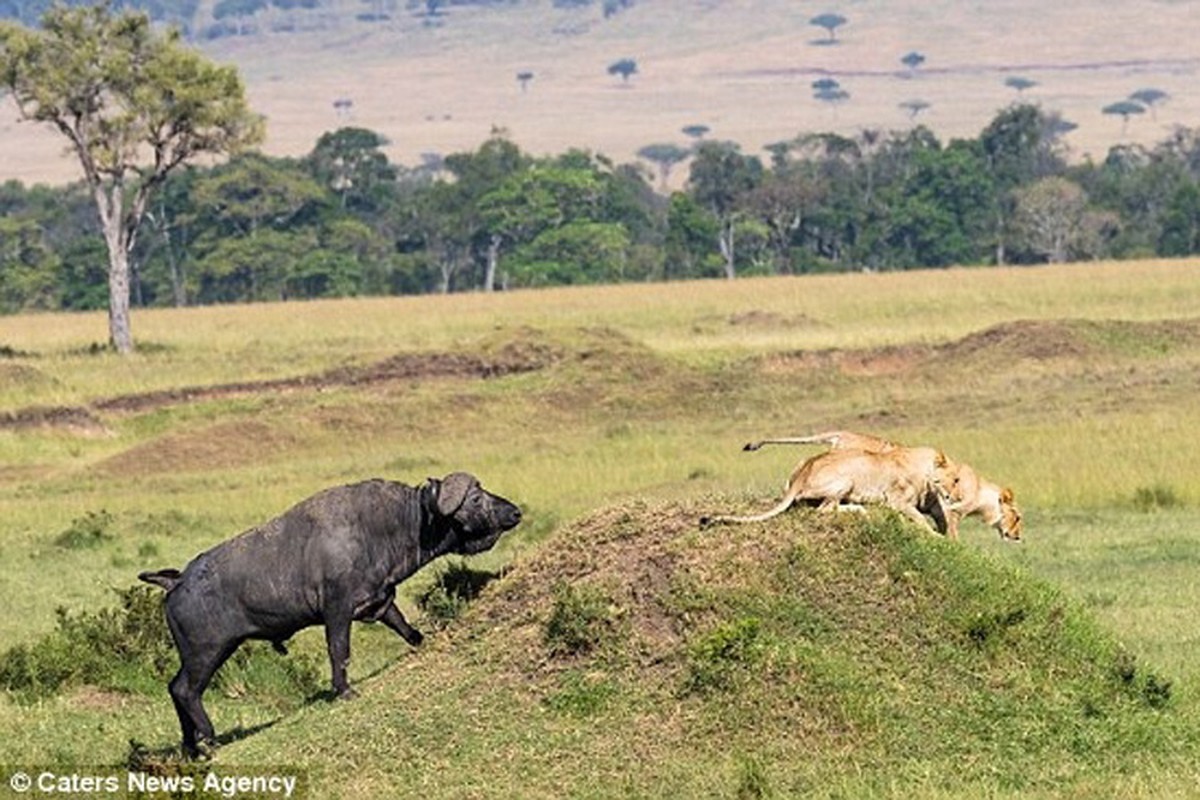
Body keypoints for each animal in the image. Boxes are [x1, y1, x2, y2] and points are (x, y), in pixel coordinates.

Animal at [138, 472, 518, 762]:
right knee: (186, 690)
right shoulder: (338, 611)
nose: (514, 512)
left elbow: (408, 630)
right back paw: (209, 737)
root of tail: (178, 580)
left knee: (175, 688)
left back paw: (190, 746)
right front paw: (344, 690)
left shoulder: (379, 602)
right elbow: (340, 651)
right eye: (475, 498)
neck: (386, 526)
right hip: (208, 652)